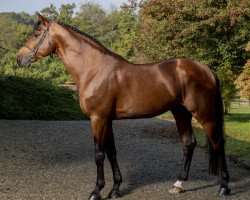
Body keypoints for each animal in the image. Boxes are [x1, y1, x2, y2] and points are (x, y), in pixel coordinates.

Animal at [16, 13, 230, 199]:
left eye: (37, 33)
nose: (19, 59)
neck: (94, 69)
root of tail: (206, 68)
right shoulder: (107, 120)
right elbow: (112, 153)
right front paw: (115, 189)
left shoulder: (98, 119)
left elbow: (99, 154)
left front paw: (96, 191)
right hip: (181, 112)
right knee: (189, 143)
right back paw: (178, 185)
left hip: (204, 114)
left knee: (218, 143)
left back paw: (224, 187)